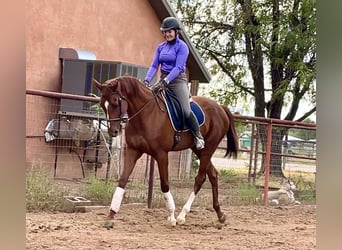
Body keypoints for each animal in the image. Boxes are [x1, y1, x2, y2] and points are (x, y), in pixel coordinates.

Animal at [93, 75, 238, 228]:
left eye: (115, 102)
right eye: (102, 104)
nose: (113, 132)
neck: (146, 114)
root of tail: (220, 108)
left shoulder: (161, 154)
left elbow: (164, 184)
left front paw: (172, 216)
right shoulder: (133, 151)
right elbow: (122, 181)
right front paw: (110, 216)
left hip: (208, 149)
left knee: (200, 179)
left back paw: (182, 215)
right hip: (199, 150)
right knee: (213, 175)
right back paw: (220, 214)